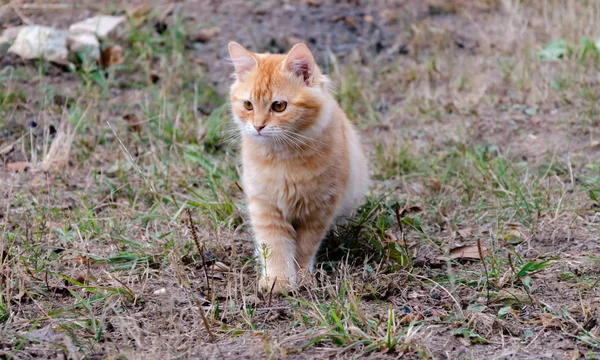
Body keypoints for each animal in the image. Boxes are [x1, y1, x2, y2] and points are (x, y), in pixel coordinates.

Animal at [227, 42, 368, 294]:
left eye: (279, 106)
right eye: (248, 105)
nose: (258, 127)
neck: (284, 160)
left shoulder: (319, 210)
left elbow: (304, 249)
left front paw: (301, 278)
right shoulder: (266, 206)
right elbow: (275, 247)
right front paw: (277, 281)